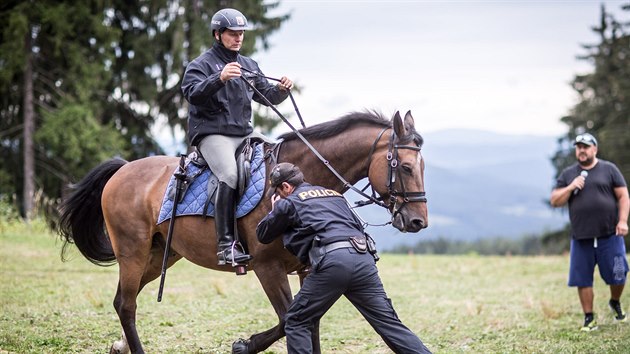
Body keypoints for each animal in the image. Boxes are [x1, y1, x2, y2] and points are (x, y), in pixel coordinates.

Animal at [56, 109, 430, 352]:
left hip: (159, 255)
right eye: (405, 167)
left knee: (124, 300)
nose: (418, 221)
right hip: (133, 252)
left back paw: (119, 345)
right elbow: (287, 320)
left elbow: (309, 325)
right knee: (127, 304)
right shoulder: (268, 268)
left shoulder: (308, 270)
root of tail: (123, 169)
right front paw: (246, 344)